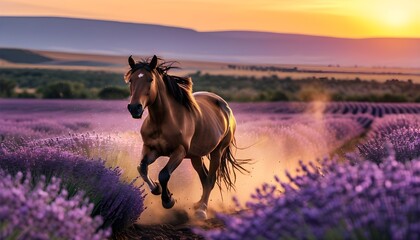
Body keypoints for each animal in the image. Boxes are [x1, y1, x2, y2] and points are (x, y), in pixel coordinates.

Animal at [124, 55, 249, 218]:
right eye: (131, 80)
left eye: (150, 79)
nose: (135, 108)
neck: (161, 121)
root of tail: (225, 106)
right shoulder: (151, 149)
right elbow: (142, 168)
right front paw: (156, 189)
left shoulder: (179, 151)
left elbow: (164, 174)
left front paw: (168, 200)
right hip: (196, 156)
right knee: (204, 178)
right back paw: (197, 204)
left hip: (217, 151)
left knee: (210, 179)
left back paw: (202, 210)